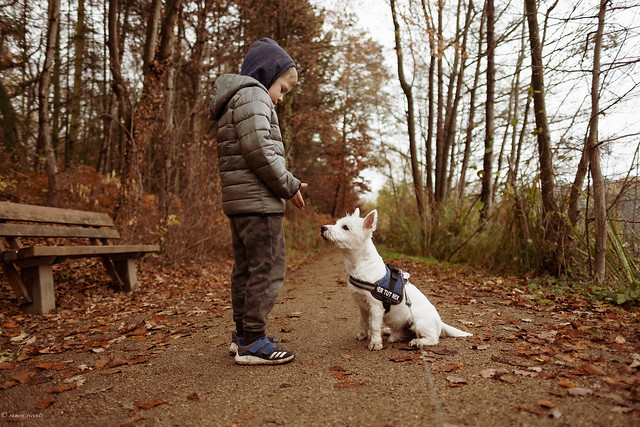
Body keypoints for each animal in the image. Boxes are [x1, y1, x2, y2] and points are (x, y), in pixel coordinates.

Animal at [320, 209, 470, 352]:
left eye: (345, 227)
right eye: (338, 223)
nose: (322, 228)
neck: (359, 263)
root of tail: (439, 321)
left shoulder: (376, 306)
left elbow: (374, 326)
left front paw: (375, 343)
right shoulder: (362, 305)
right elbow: (363, 322)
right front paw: (363, 335)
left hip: (417, 321)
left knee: (433, 338)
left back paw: (417, 342)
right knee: (402, 334)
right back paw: (389, 332)